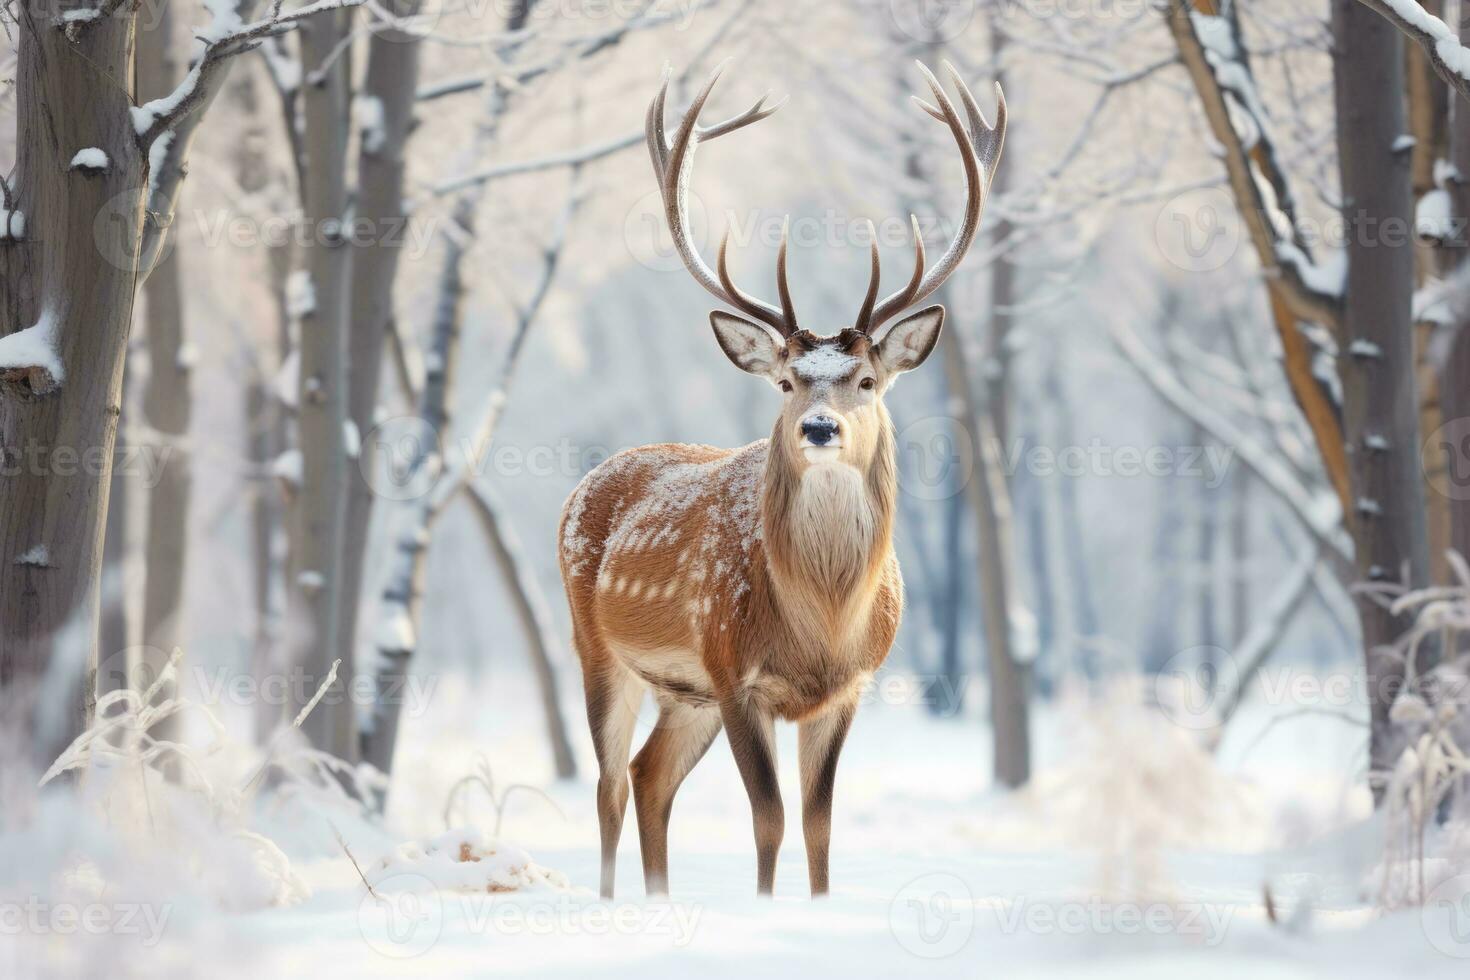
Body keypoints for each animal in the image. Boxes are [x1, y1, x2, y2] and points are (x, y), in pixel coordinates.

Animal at [555, 59, 1005, 899]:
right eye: (788, 381)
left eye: (865, 380)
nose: (818, 428)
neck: (820, 624)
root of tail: (584, 484)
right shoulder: (736, 673)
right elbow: (768, 819)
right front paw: (767, 907)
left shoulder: (849, 686)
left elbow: (820, 826)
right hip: (596, 645)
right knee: (608, 782)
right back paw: (611, 903)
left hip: (684, 692)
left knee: (648, 777)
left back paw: (660, 900)